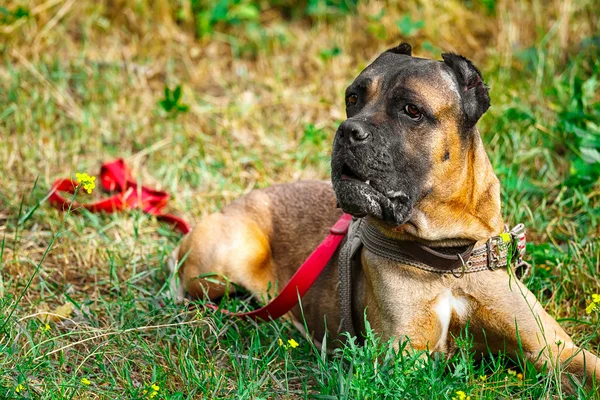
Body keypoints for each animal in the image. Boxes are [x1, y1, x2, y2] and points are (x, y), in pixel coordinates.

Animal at [169, 43, 600, 390]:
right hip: (226, 261)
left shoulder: (555, 350)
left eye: (412, 111)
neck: (448, 256)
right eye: (352, 98)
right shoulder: (403, 361)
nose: (347, 130)